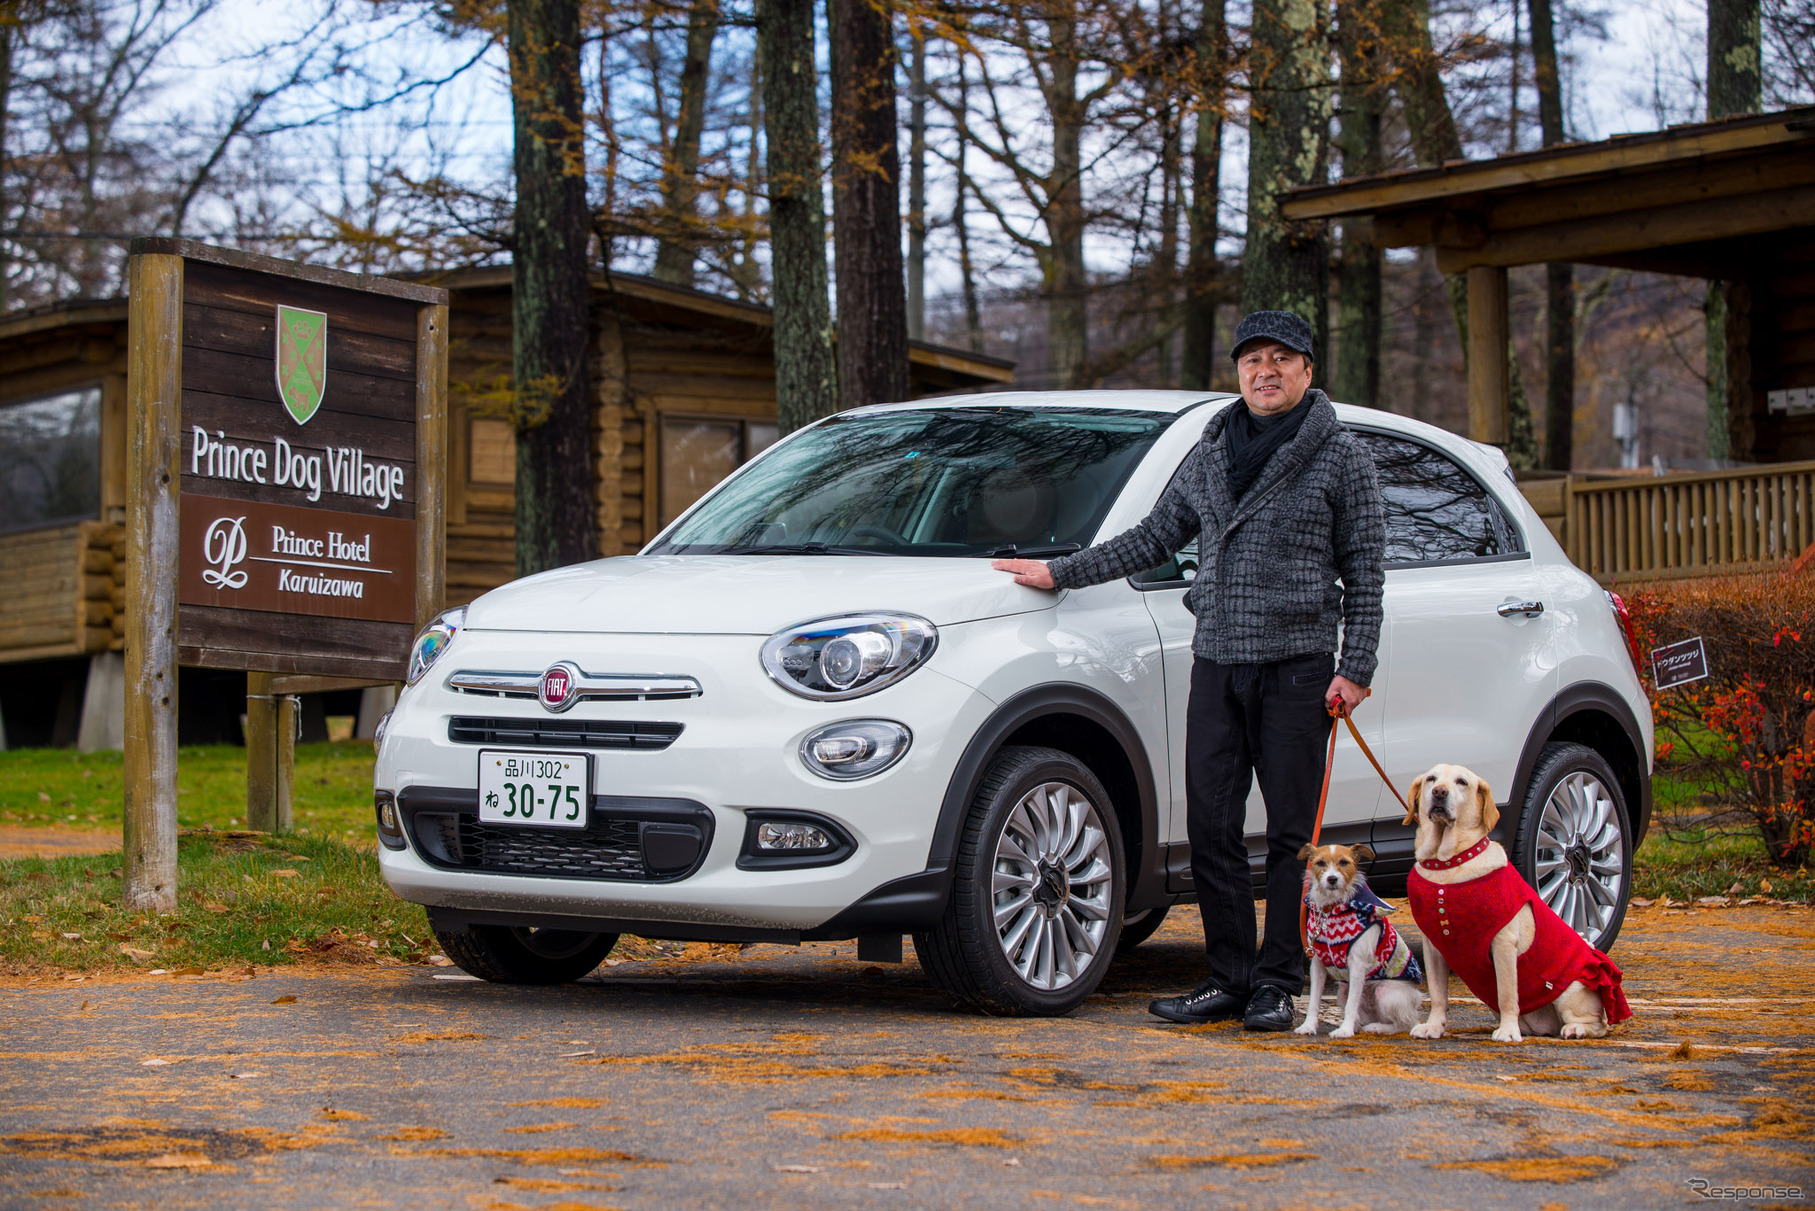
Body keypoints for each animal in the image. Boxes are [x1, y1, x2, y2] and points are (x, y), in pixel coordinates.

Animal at [1299, 849, 1422, 1038]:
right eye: (1320, 863)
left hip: (1385, 992)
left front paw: (1345, 1031)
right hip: (1342, 992)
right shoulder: (1318, 965)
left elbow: (1352, 1004)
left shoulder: (1357, 966)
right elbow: (1314, 1000)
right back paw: (1358, 1025)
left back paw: (1376, 1027)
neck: (1329, 911)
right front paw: (1308, 1026)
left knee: (1406, 1023)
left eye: (1344, 862)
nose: (1332, 879)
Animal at [1401, 766, 1633, 1045]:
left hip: (1573, 987)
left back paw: (1576, 1029)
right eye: (1431, 779)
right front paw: (1433, 1026)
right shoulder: (1434, 948)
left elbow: (1507, 994)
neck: (1447, 866)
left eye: (1462, 782)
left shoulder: (1503, 944)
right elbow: (1437, 994)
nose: (1439, 793)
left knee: (1597, 1025)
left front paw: (1508, 1030)